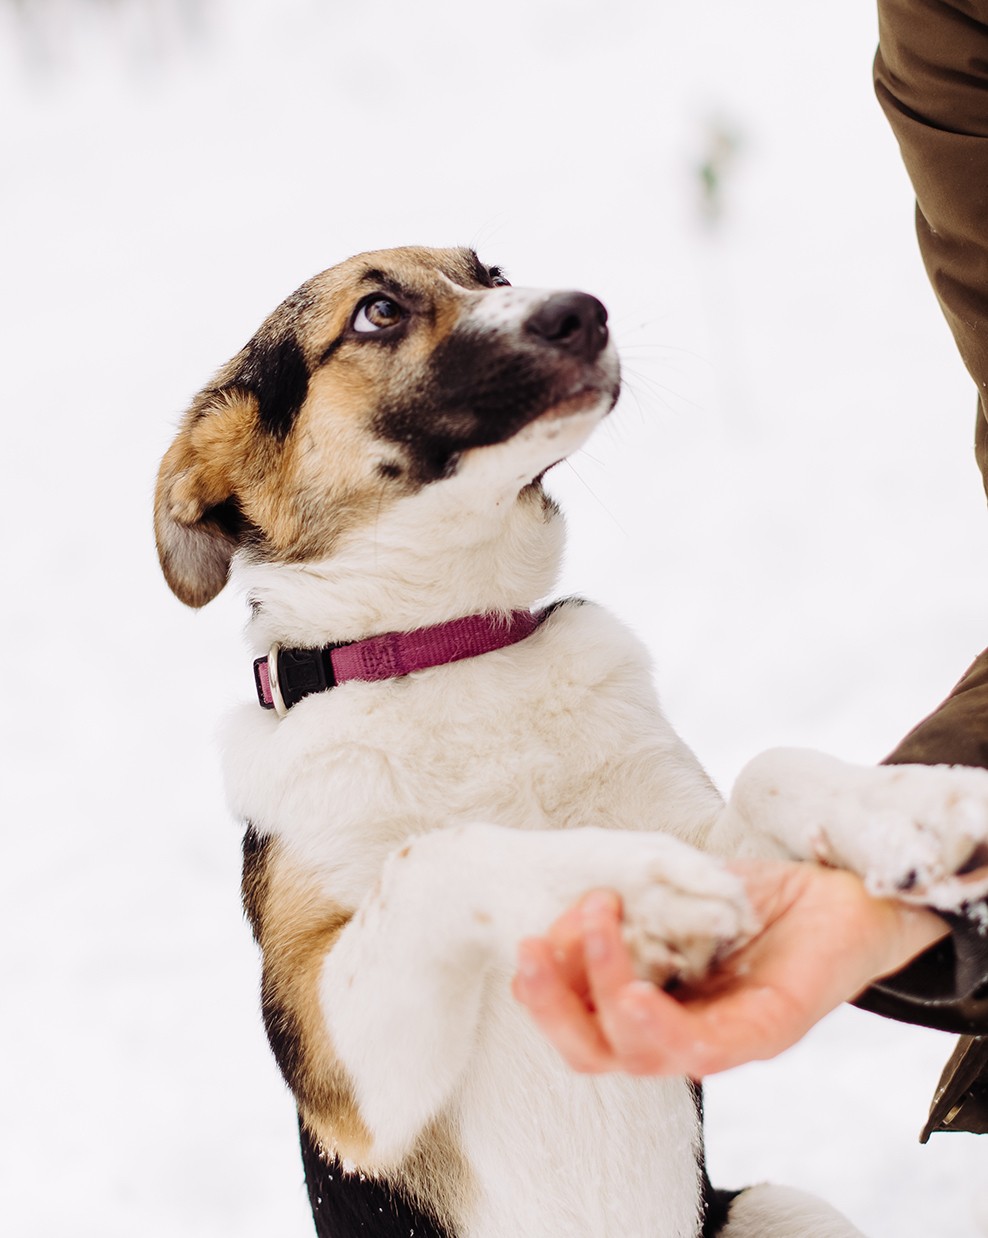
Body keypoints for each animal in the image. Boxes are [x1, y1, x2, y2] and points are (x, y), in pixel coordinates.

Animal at [156, 243, 988, 1238]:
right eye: (377, 310)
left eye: (492, 271)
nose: (586, 312)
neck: (450, 645)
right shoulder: (342, 1079)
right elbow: (438, 856)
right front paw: (637, 894)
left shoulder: (707, 832)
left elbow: (768, 768)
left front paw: (909, 805)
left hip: (782, 1207)